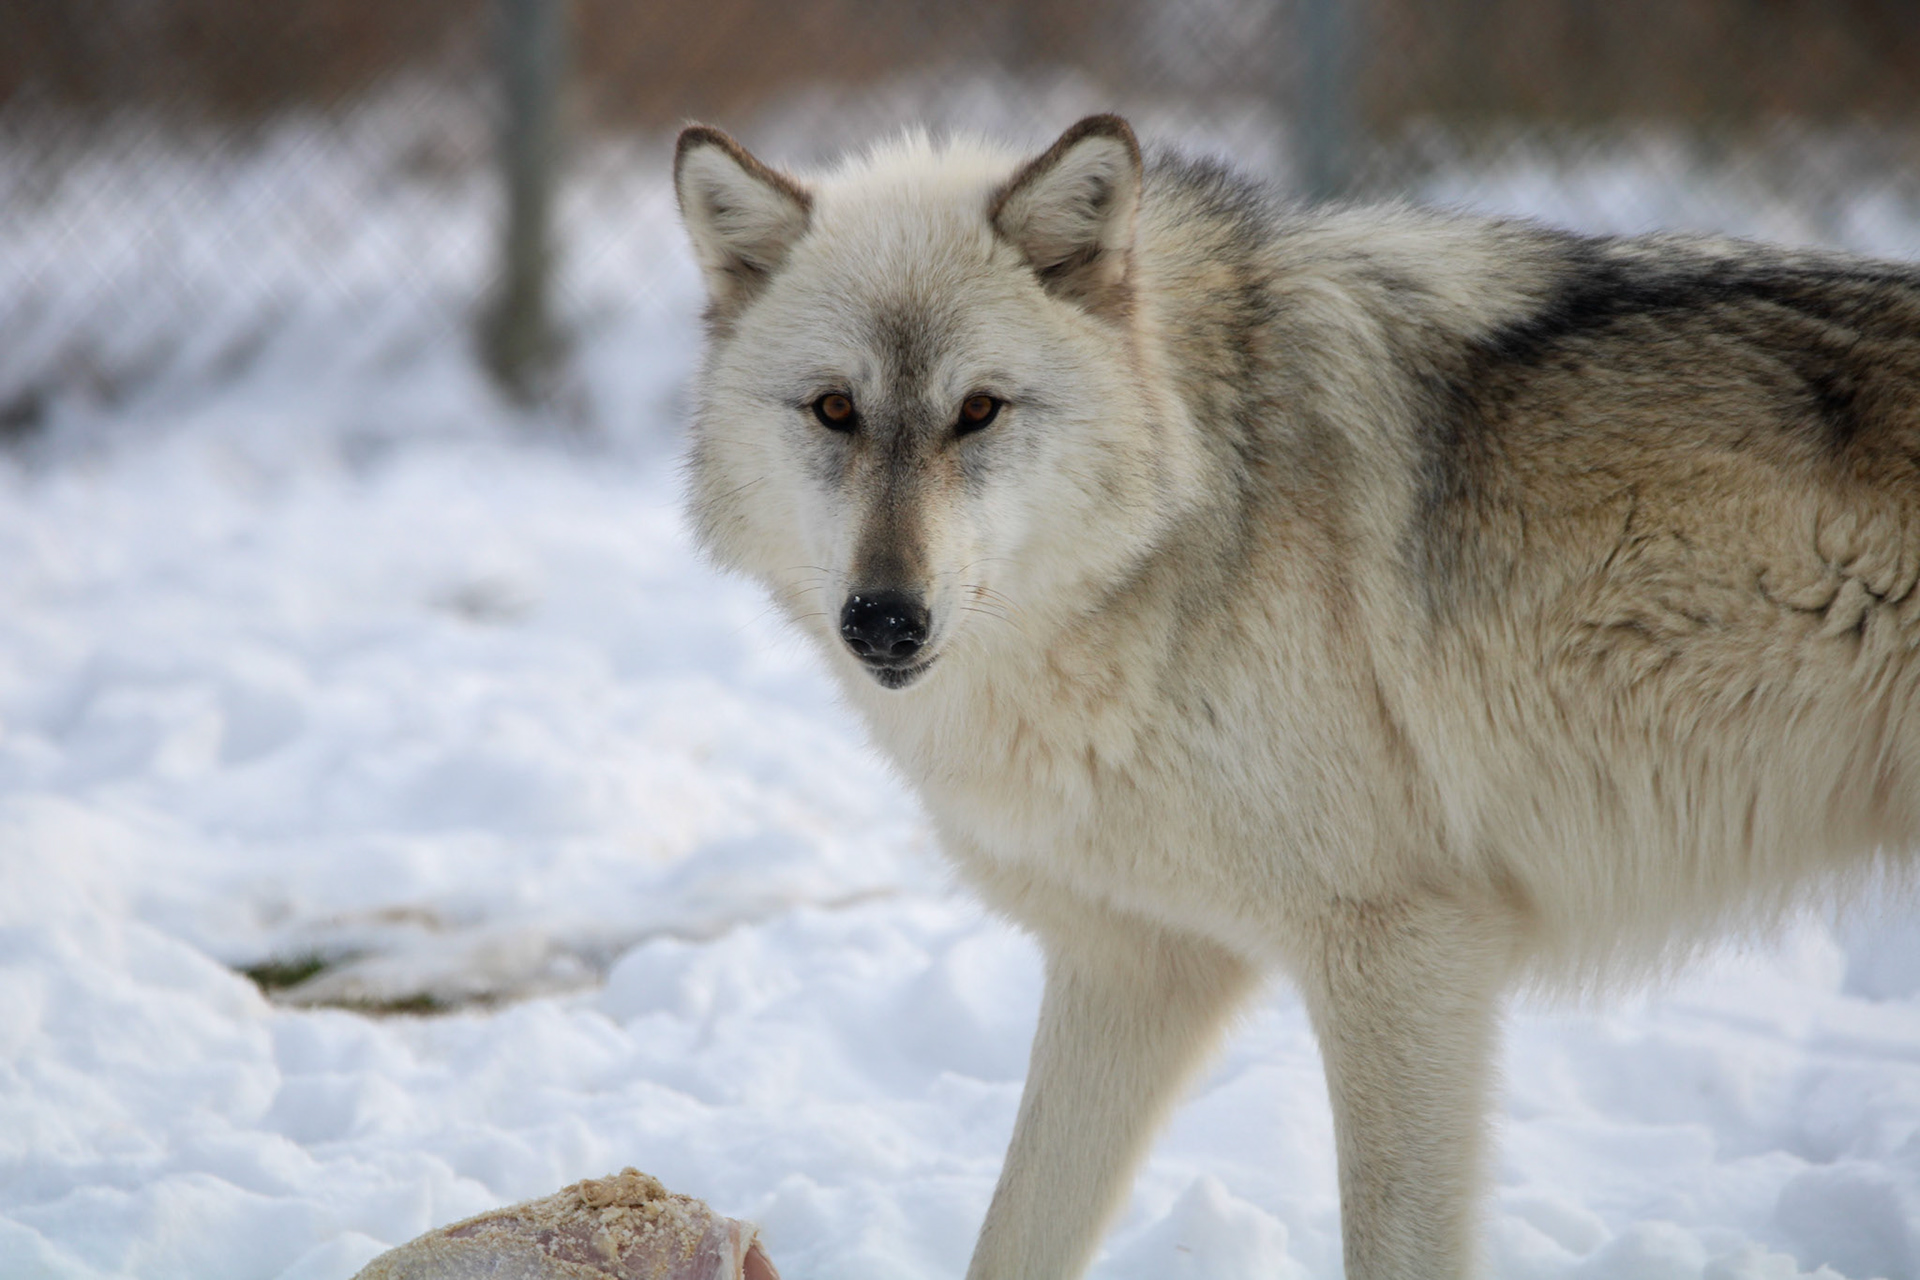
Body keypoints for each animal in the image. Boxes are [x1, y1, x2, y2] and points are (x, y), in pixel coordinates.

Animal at [672, 114, 1920, 1279]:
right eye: (835, 409)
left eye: (978, 410)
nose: (884, 619)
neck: (1192, 519)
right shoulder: (1134, 966)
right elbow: (1013, 1235)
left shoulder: (1404, 948)